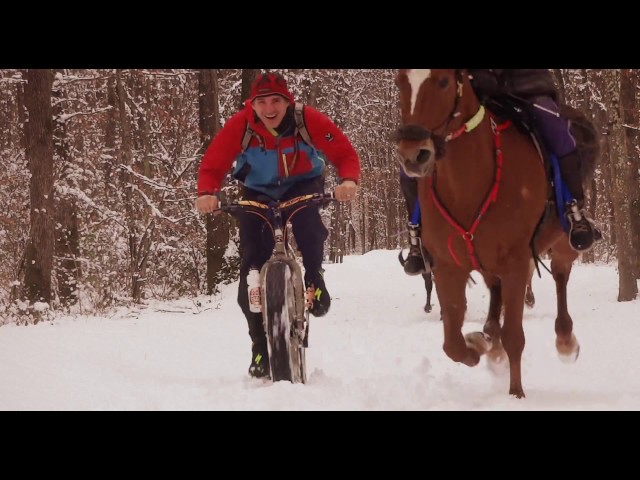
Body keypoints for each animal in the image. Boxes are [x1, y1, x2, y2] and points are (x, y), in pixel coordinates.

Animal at [394, 69, 588, 398]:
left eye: (443, 81)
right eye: (399, 82)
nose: (413, 154)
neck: (466, 185)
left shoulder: (515, 264)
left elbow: (515, 336)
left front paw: (516, 394)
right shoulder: (448, 267)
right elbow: (452, 343)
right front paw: (478, 346)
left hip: (563, 243)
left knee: (561, 276)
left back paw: (565, 340)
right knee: (494, 295)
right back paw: (490, 340)